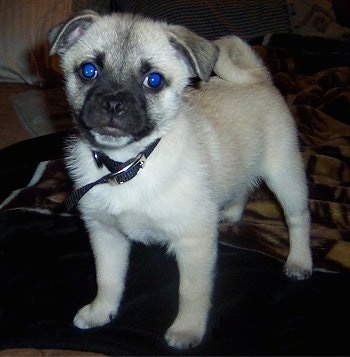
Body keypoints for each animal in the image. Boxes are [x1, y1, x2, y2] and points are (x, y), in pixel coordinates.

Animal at [47, 10, 314, 348]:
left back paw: (300, 261)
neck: (128, 164)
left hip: (284, 175)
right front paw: (101, 311)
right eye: (88, 71)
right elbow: (108, 279)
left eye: (154, 80)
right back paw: (229, 214)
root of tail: (257, 77)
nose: (113, 102)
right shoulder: (106, 235)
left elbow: (191, 292)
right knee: (241, 188)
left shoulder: (193, 242)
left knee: (298, 218)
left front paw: (187, 330)